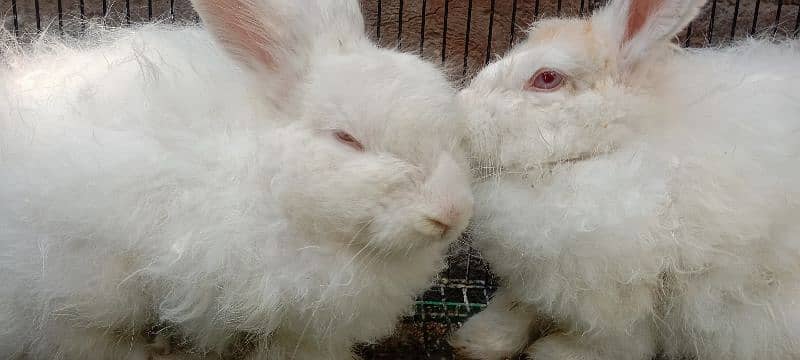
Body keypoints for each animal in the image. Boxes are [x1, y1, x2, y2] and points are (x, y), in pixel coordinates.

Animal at [450, 0, 800, 360]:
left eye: (547, 78)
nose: (459, 111)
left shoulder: (625, 294)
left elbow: (620, 340)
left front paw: (556, 352)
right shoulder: (533, 277)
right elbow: (518, 306)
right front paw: (478, 340)